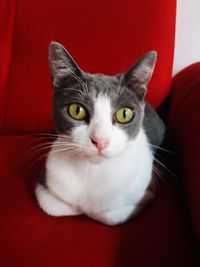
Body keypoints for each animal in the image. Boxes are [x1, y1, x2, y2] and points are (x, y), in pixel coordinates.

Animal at [35, 41, 165, 226]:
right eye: (76, 110)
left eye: (124, 114)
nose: (100, 140)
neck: (92, 171)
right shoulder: (46, 179)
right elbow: (52, 205)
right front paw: (79, 208)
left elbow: (110, 214)